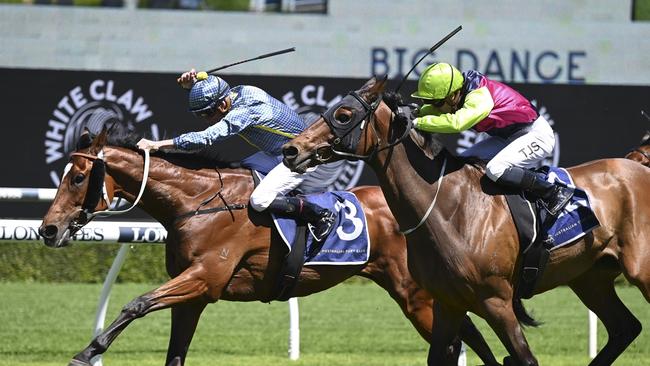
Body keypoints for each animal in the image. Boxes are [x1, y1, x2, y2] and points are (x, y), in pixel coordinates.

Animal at [39, 130, 496, 364]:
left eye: (77, 177)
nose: (47, 229)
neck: (197, 203)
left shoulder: (204, 278)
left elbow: (136, 303)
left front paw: (88, 352)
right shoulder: (193, 297)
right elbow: (174, 352)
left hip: (415, 294)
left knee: (462, 335)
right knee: (468, 333)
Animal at [280, 77, 648, 366]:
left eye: (343, 115)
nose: (290, 150)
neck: (449, 210)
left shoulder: (496, 300)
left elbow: (525, 358)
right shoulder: (448, 303)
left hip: (639, 271)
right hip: (590, 277)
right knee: (625, 328)